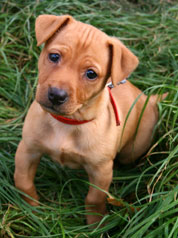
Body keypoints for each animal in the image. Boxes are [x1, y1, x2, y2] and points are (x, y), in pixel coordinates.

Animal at [14, 14, 163, 225]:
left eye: (91, 74)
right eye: (54, 56)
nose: (56, 95)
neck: (67, 123)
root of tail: (149, 99)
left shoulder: (101, 170)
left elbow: (94, 198)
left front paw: (96, 224)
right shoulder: (28, 150)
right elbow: (23, 181)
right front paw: (31, 210)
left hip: (134, 148)